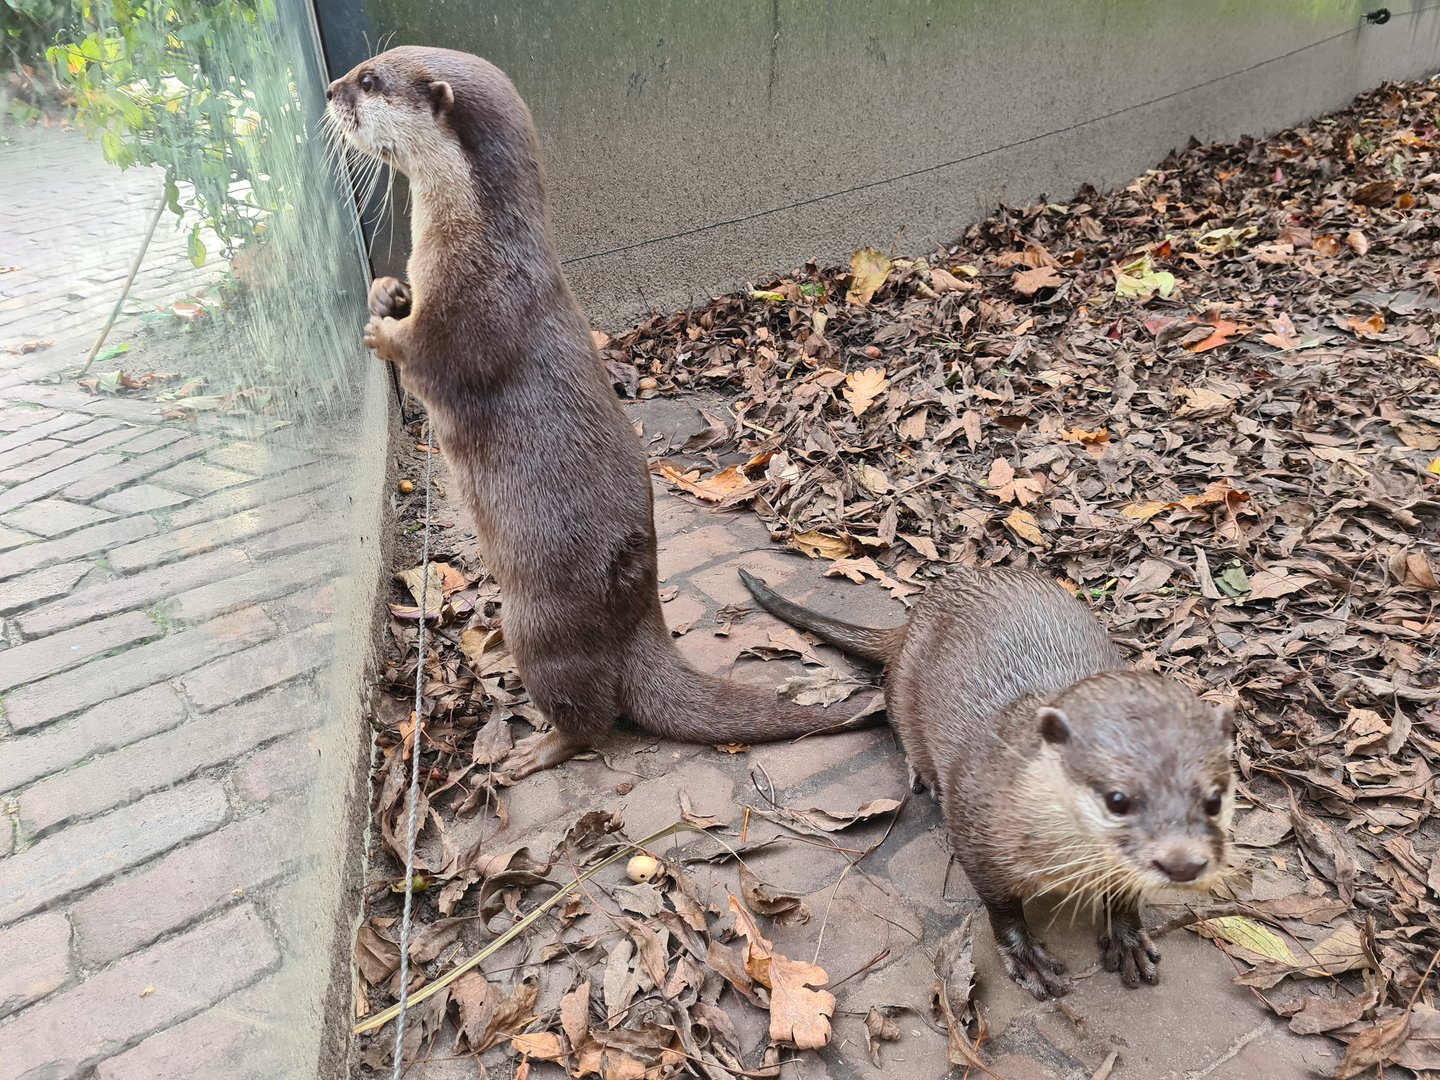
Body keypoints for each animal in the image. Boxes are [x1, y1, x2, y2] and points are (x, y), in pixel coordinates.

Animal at [325, 47, 867, 777]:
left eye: (369, 79)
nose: (329, 90)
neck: (475, 237)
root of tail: (640, 620)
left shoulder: (474, 308)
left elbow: (427, 361)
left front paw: (380, 331)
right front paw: (386, 290)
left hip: (542, 628)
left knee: (593, 718)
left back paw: (535, 750)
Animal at [738, 565, 1235, 999]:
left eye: (1213, 800)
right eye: (1117, 799)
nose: (1184, 863)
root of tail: (915, 614)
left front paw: (1129, 940)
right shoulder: (975, 832)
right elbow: (1000, 905)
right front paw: (1027, 958)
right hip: (905, 692)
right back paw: (923, 774)